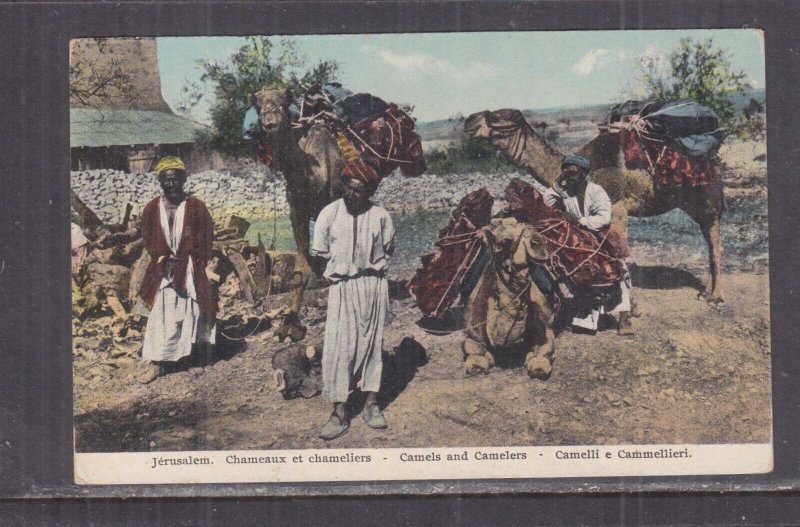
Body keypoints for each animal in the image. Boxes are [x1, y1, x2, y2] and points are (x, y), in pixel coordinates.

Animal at [466, 109, 728, 304]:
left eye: (501, 116)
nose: (469, 121)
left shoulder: (618, 206)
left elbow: (620, 250)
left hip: (707, 199)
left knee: (715, 243)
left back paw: (715, 296)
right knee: (710, 241)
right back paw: (706, 291)